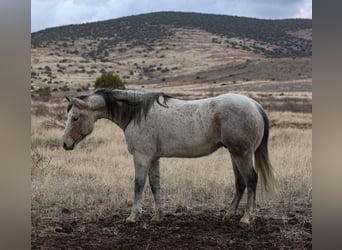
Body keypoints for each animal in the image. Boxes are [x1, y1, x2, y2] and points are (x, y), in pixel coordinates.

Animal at [63, 88, 278, 227]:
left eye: (75, 117)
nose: (65, 144)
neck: (137, 114)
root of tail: (255, 105)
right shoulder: (153, 158)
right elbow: (155, 185)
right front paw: (158, 216)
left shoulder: (141, 157)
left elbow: (138, 185)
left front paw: (133, 216)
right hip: (235, 154)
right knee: (240, 182)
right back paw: (229, 214)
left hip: (242, 155)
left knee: (251, 180)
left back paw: (246, 218)